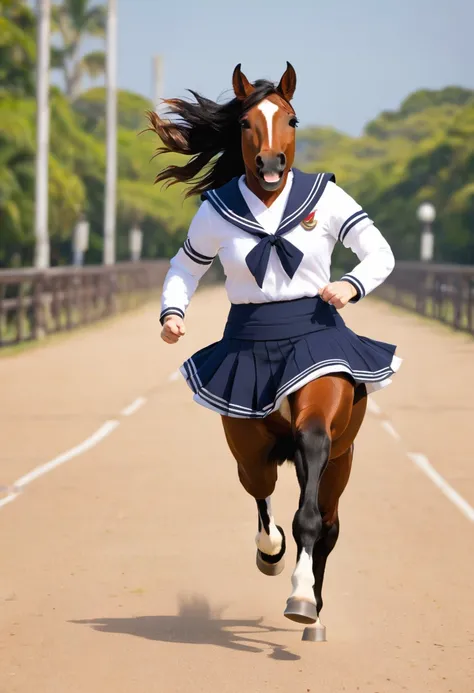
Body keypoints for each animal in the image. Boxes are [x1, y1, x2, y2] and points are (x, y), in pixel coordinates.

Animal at [148, 63, 370, 636]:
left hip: (341, 457)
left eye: (291, 119)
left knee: (328, 522)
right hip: (249, 436)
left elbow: (310, 517)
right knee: (261, 488)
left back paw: (312, 605)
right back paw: (273, 557)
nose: (271, 164)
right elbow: (184, 267)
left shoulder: (320, 418)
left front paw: (304, 600)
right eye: (246, 122)